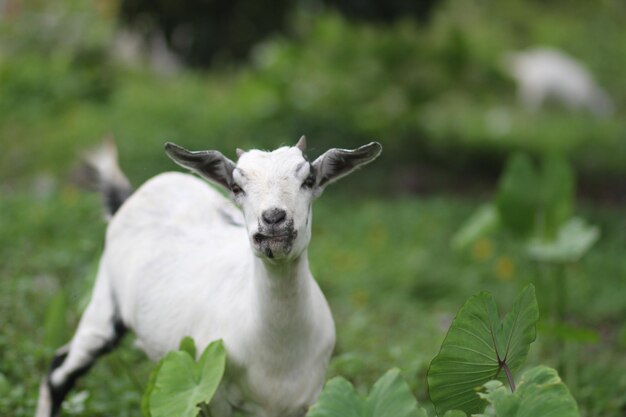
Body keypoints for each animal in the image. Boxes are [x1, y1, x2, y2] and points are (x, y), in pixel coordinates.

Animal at [36, 136, 382, 416]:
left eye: (308, 180)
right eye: (237, 187)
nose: (273, 219)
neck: (277, 355)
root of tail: (131, 196)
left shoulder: (309, 398)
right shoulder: (212, 387)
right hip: (105, 300)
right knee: (60, 368)